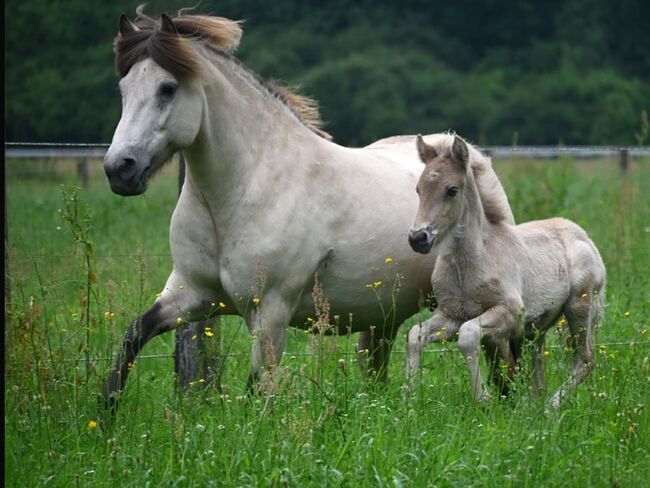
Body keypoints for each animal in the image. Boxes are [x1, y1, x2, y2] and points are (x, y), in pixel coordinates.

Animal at [101, 8, 514, 409]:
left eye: (167, 88)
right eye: (123, 88)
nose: (120, 169)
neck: (246, 189)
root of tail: (465, 150)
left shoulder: (270, 312)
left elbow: (257, 391)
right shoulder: (189, 295)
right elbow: (132, 338)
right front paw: (106, 416)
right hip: (385, 314)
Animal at [406, 134, 606, 408]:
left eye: (451, 190)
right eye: (419, 189)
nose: (418, 238)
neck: (469, 263)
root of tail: (583, 236)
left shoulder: (508, 311)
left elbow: (468, 337)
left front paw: (483, 399)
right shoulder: (452, 314)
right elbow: (415, 335)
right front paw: (409, 397)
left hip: (579, 307)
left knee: (585, 360)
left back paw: (550, 407)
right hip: (538, 326)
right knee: (539, 368)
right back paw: (534, 406)